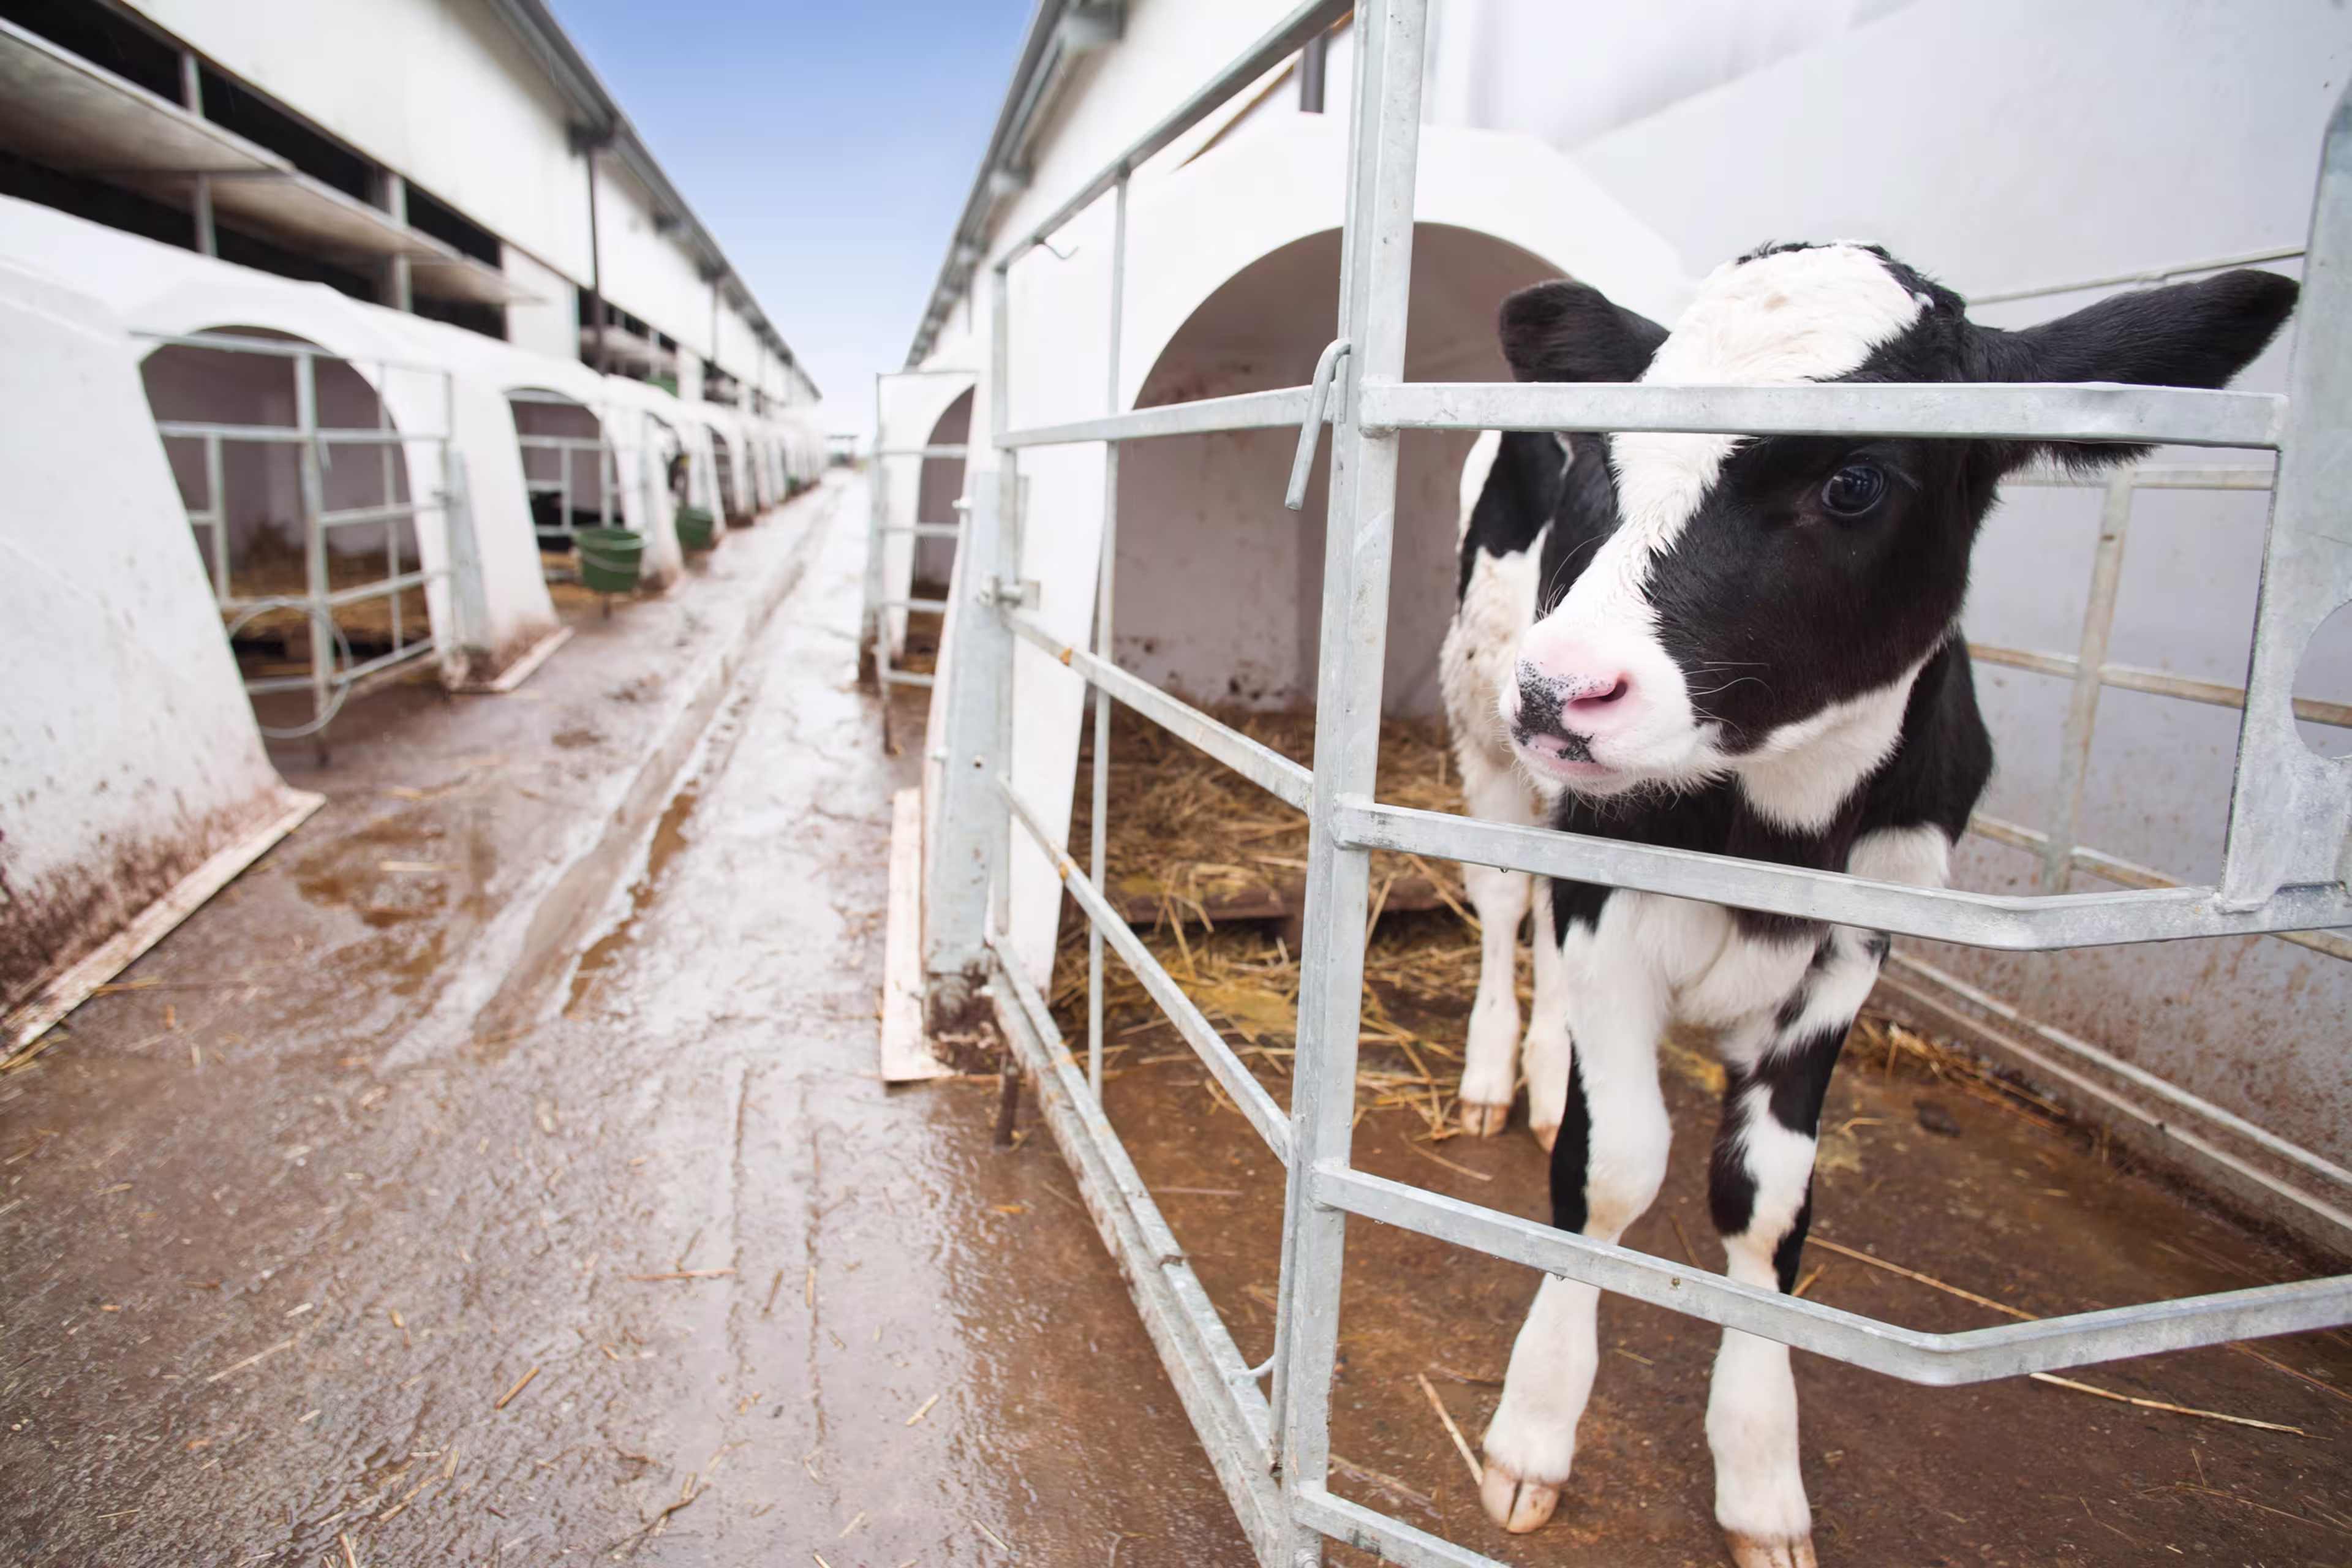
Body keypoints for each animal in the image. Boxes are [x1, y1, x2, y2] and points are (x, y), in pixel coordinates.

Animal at [1439, 244, 2296, 1567]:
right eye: (1603, 460)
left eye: (1855, 482)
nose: (1561, 688)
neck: (1781, 822)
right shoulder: (1606, 894)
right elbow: (1618, 1163)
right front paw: (1535, 1428)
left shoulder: (1857, 946)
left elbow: (1766, 1201)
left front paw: (1760, 1473)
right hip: (1482, 739)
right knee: (1499, 906)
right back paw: (1496, 1073)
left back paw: (1536, 1079)